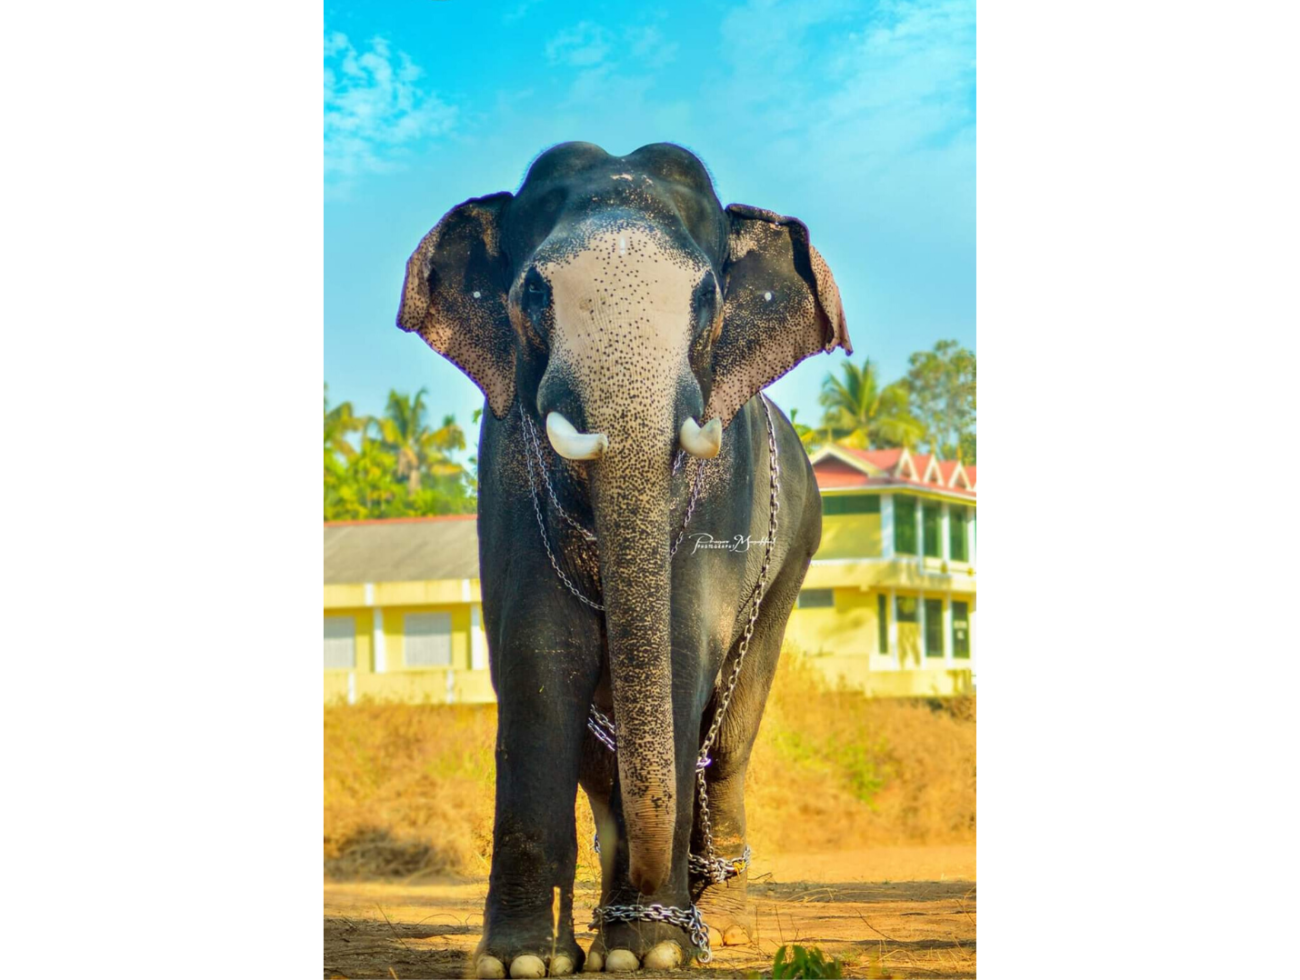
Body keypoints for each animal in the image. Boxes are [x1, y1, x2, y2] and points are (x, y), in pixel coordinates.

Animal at [396, 141, 851, 978]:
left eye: (705, 298)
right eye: (534, 293)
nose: (659, 904)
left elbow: (677, 659)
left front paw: (656, 952)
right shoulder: (504, 468)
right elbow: (540, 661)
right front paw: (526, 962)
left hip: (794, 558)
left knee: (728, 739)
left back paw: (720, 925)